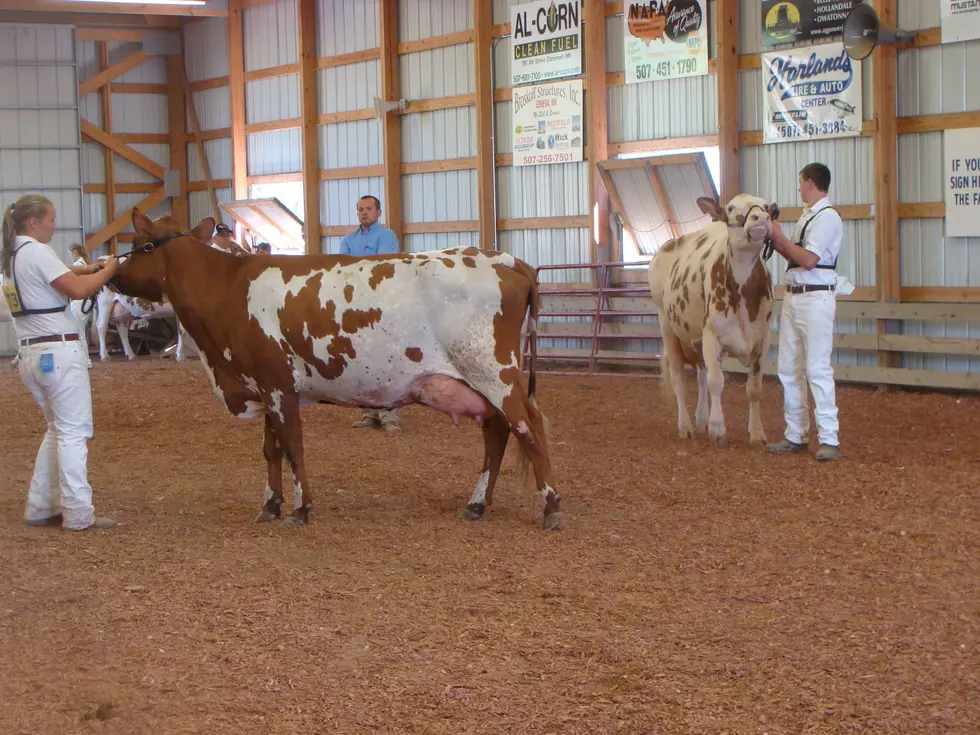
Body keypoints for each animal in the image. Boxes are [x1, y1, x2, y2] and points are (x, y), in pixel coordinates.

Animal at [109, 211, 560, 528]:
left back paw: (551, 508)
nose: (111, 275)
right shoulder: (266, 384)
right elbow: (271, 449)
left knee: (530, 426)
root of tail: (509, 261)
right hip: (482, 382)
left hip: (495, 372)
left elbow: (292, 445)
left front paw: (301, 509)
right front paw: (270, 505)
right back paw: (477, 504)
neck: (228, 290)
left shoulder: (277, 385)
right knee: (498, 434)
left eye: (139, 243)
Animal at [648, 194, 776, 448]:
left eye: (766, 206)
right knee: (679, 379)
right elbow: (717, 381)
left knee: (700, 377)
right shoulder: (711, 335)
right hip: (668, 328)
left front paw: (757, 433)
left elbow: (755, 389)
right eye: (731, 207)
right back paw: (686, 426)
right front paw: (717, 429)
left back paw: (700, 420)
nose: (760, 218)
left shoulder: (762, 340)